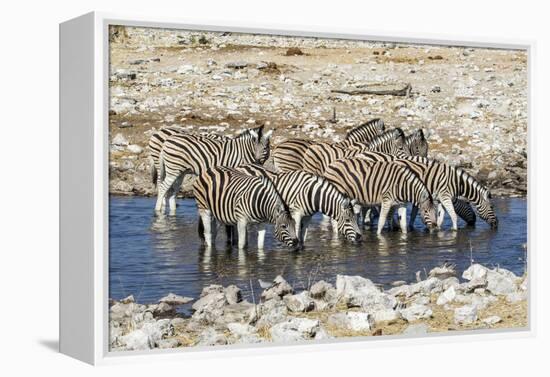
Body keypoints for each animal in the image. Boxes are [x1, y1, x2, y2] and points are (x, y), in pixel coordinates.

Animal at [232, 164, 364, 244]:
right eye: (347, 220)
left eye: (355, 218)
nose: (359, 237)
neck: (311, 193)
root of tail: (241, 166)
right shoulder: (296, 213)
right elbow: (296, 232)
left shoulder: (308, 216)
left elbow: (303, 236)